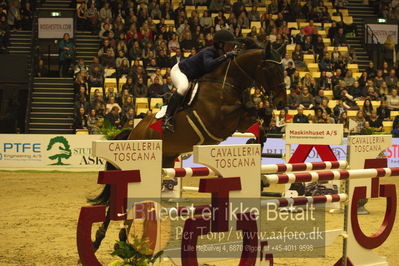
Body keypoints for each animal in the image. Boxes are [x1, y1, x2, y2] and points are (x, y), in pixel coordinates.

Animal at [88, 40, 288, 252]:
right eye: (271, 69)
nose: (282, 103)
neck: (228, 83)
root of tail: (133, 133)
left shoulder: (240, 122)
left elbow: (260, 118)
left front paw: (260, 161)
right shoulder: (221, 120)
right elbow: (250, 109)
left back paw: (121, 240)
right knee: (118, 202)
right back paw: (100, 241)